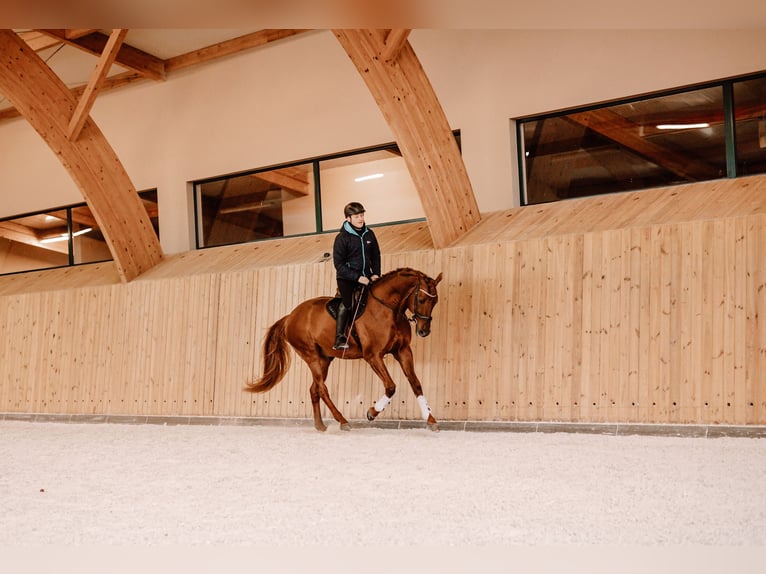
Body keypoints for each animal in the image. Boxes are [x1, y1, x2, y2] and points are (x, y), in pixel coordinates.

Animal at [246, 268, 444, 434]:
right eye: (421, 300)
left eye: (435, 301)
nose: (424, 331)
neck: (389, 310)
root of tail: (290, 317)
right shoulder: (373, 356)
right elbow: (390, 386)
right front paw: (372, 412)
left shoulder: (403, 351)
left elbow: (415, 384)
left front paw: (430, 419)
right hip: (311, 356)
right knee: (322, 389)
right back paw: (342, 421)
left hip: (324, 359)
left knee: (314, 389)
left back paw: (320, 425)